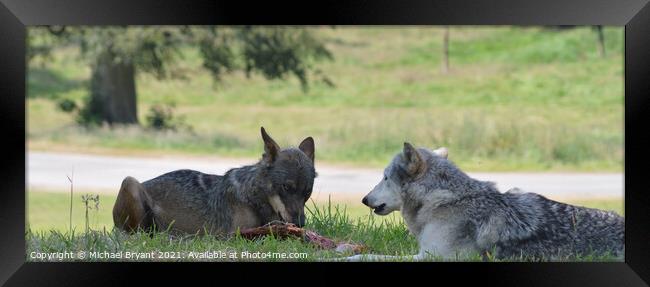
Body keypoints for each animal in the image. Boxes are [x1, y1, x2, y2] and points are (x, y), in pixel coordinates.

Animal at [112, 128, 316, 236]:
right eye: (286, 187)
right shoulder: (236, 233)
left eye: (307, 192)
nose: (300, 223)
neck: (253, 198)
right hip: (130, 183)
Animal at [346, 143, 620, 262]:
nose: (364, 199)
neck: (441, 201)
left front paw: (345, 258)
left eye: (384, 177)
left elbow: (372, 256)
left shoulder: (434, 257)